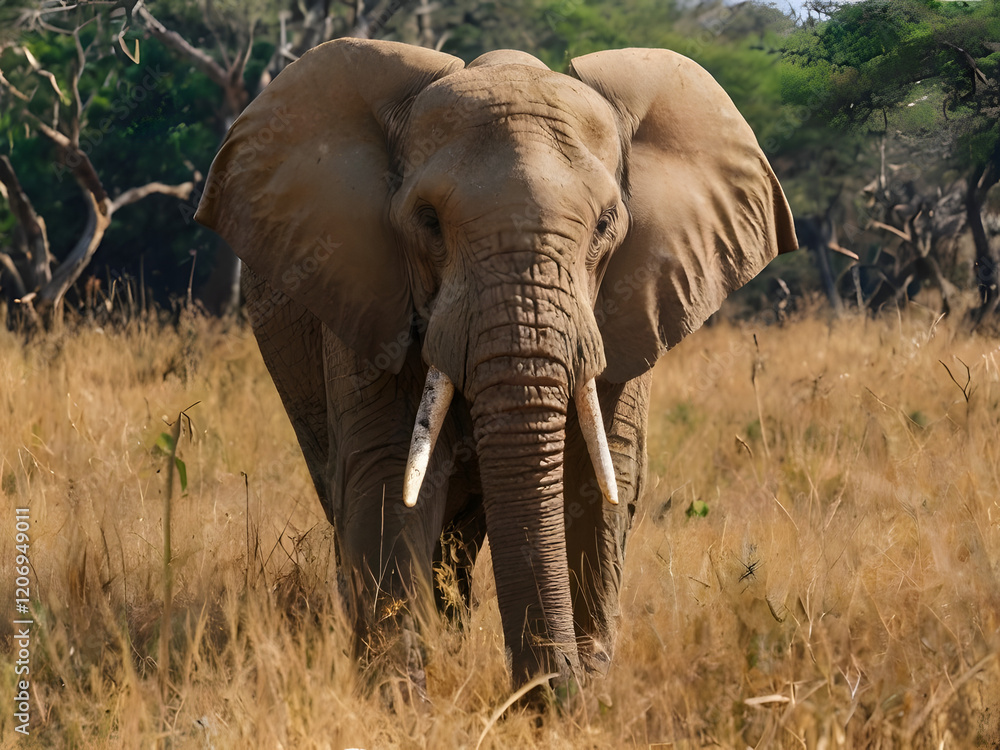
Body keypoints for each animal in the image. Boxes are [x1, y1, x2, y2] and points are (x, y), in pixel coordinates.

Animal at [195, 38, 797, 692]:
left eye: (606, 224)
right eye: (428, 221)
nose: (541, 696)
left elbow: (597, 478)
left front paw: (588, 694)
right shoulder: (365, 295)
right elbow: (387, 475)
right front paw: (400, 698)